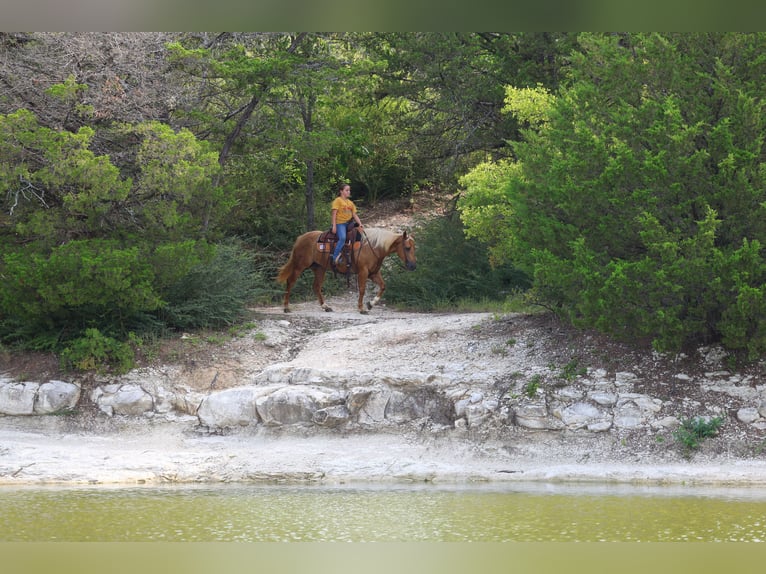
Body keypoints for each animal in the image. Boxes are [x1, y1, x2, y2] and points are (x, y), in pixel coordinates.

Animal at [277, 227, 417, 314]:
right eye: (407, 247)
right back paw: (286, 307)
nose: (413, 266)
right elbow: (362, 290)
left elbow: (383, 286)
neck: (373, 247)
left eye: (414, 247)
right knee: (290, 282)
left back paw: (325, 306)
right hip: (299, 266)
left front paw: (371, 304)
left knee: (316, 286)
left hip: (319, 269)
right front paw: (361, 309)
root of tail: (300, 238)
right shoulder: (363, 272)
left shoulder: (373, 273)